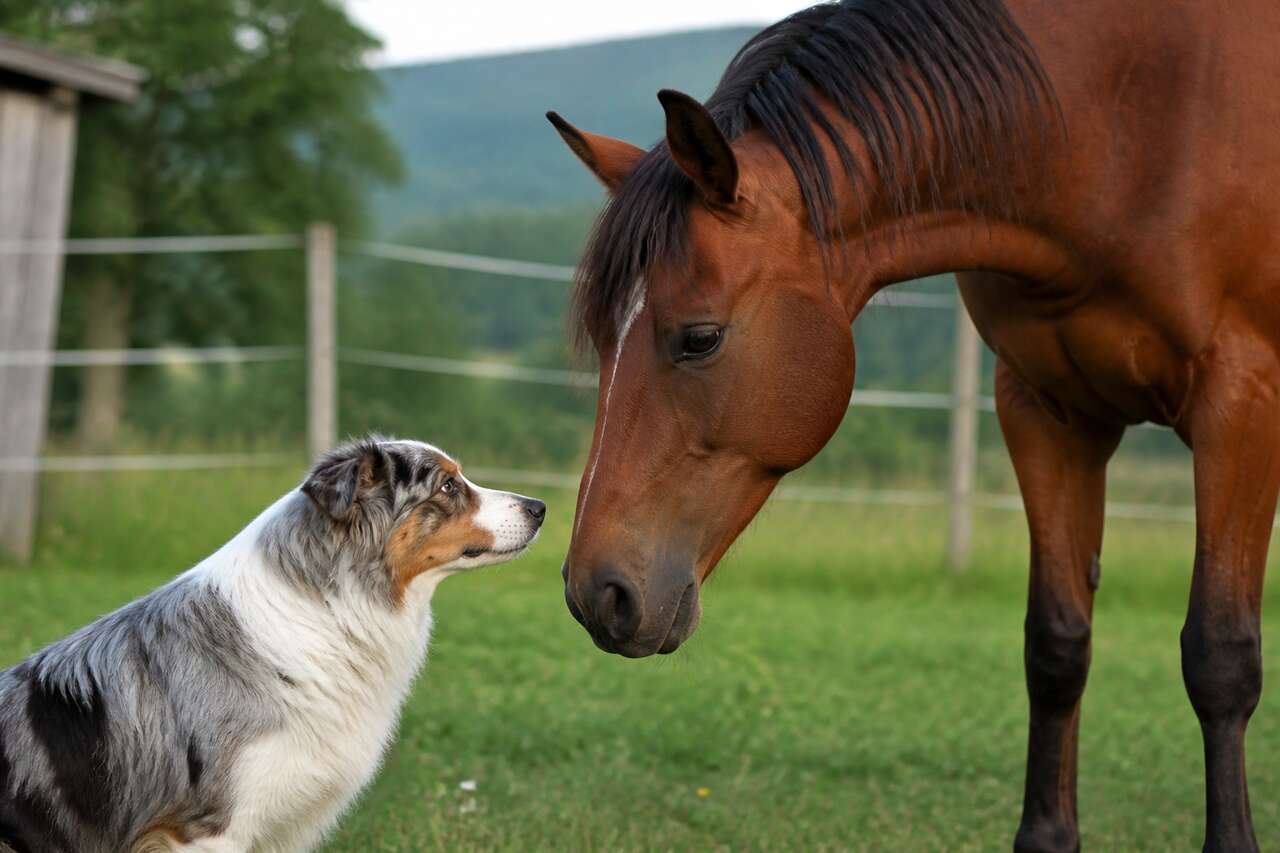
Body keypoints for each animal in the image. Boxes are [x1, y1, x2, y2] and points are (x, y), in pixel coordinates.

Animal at [546, 0, 1279, 850]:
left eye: (699, 338)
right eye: (602, 339)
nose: (596, 592)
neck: (1130, 123)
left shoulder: (1242, 406)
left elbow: (1220, 655)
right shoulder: (1046, 411)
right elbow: (1057, 644)